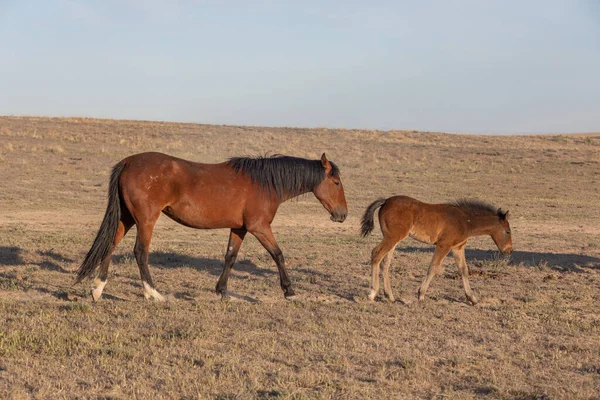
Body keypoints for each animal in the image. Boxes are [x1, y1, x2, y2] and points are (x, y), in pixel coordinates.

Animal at [75, 152, 346, 302]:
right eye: (335, 182)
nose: (342, 214)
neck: (265, 183)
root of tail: (129, 162)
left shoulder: (240, 228)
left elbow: (230, 257)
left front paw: (222, 290)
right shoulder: (259, 227)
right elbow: (278, 254)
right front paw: (289, 290)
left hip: (127, 217)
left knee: (110, 245)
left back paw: (98, 289)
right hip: (146, 220)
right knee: (140, 253)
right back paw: (153, 294)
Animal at [360, 195, 510, 304]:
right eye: (508, 231)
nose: (508, 251)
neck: (465, 220)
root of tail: (385, 201)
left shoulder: (458, 247)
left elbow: (464, 270)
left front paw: (472, 298)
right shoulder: (444, 245)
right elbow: (433, 267)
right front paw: (421, 295)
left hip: (393, 239)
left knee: (385, 263)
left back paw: (390, 296)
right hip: (393, 237)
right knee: (376, 254)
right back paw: (372, 293)